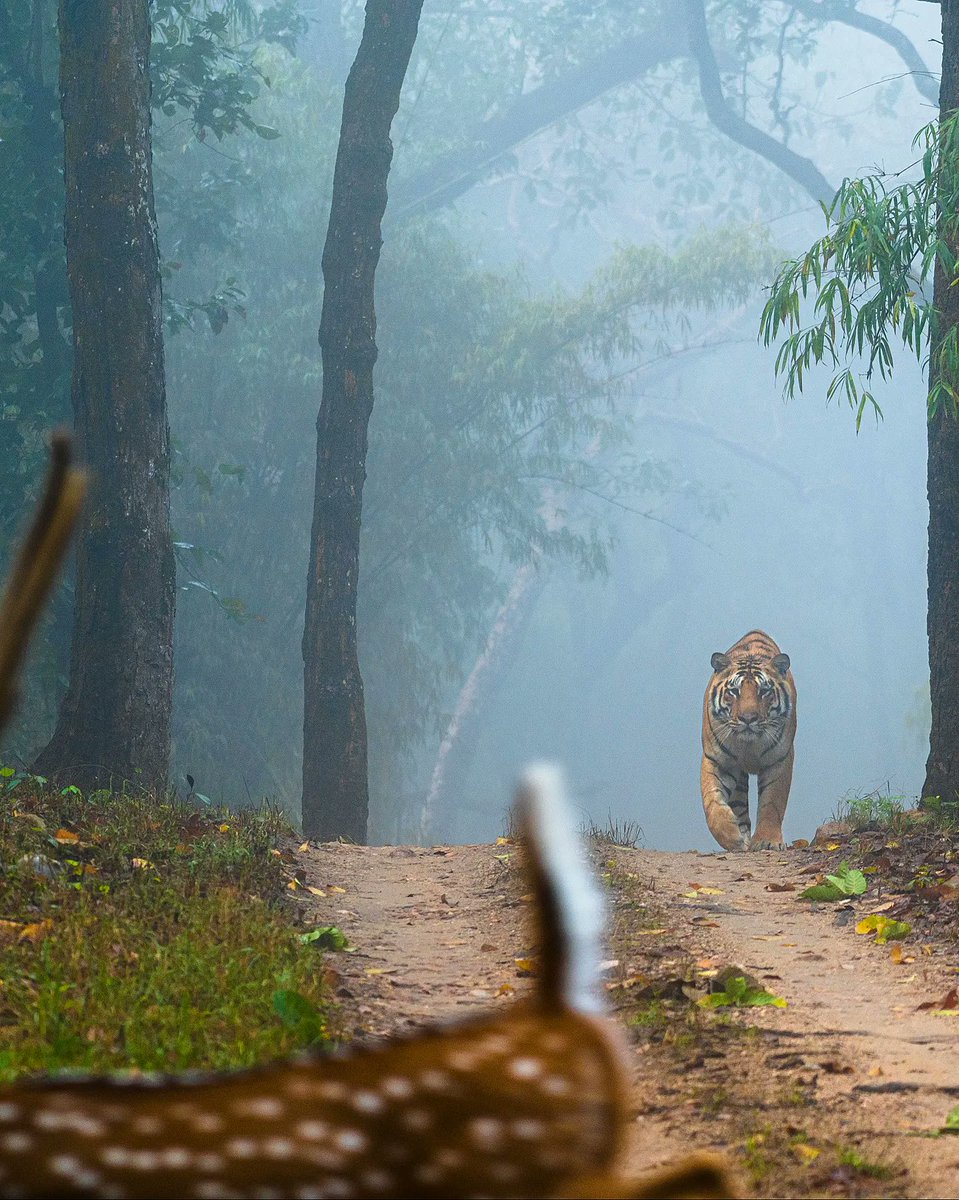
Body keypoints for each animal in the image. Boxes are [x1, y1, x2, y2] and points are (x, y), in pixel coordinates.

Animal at [701, 630, 796, 852]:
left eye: (764, 691)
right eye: (734, 691)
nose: (748, 718)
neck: (748, 745)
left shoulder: (779, 760)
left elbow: (772, 803)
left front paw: (767, 841)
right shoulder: (717, 760)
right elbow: (711, 800)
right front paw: (731, 836)